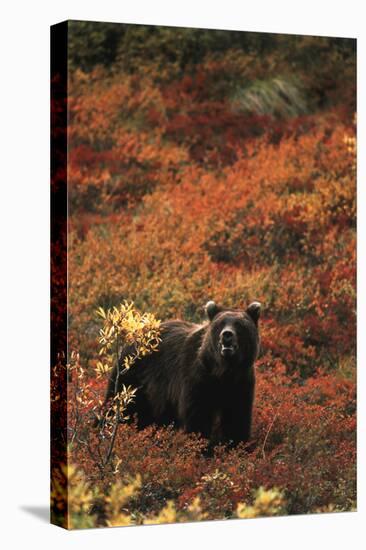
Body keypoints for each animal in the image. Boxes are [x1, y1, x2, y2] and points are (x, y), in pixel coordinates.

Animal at [104, 302, 262, 448]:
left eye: (239, 324)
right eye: (220, 324)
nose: (227, 334)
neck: (223, 371)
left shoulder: (241, 382)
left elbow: (237, 419)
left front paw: (236, 447)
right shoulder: (198, 379)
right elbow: (198, 418)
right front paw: (201, 448)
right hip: (132, 378)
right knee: (119, 407)